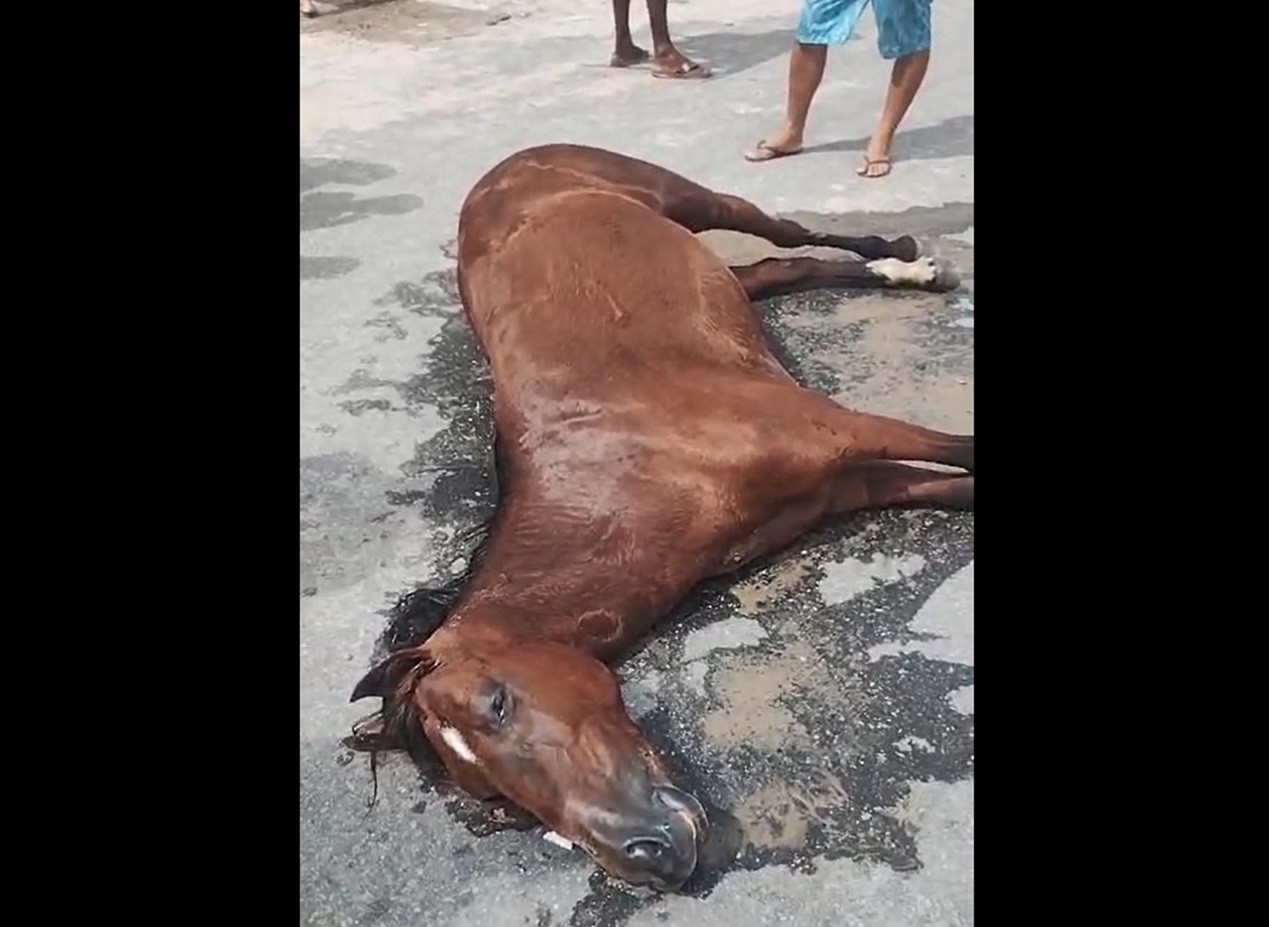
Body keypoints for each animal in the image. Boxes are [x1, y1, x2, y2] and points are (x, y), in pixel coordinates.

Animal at [347, 142, 969, 888]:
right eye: (497, 805)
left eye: (498, 701)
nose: (647, 855)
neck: (623, 468)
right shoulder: (853, 482)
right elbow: (958, 488)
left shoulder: (845, 432)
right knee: (775, 269)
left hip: (694, 199)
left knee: (790, 233)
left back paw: (907, 260)